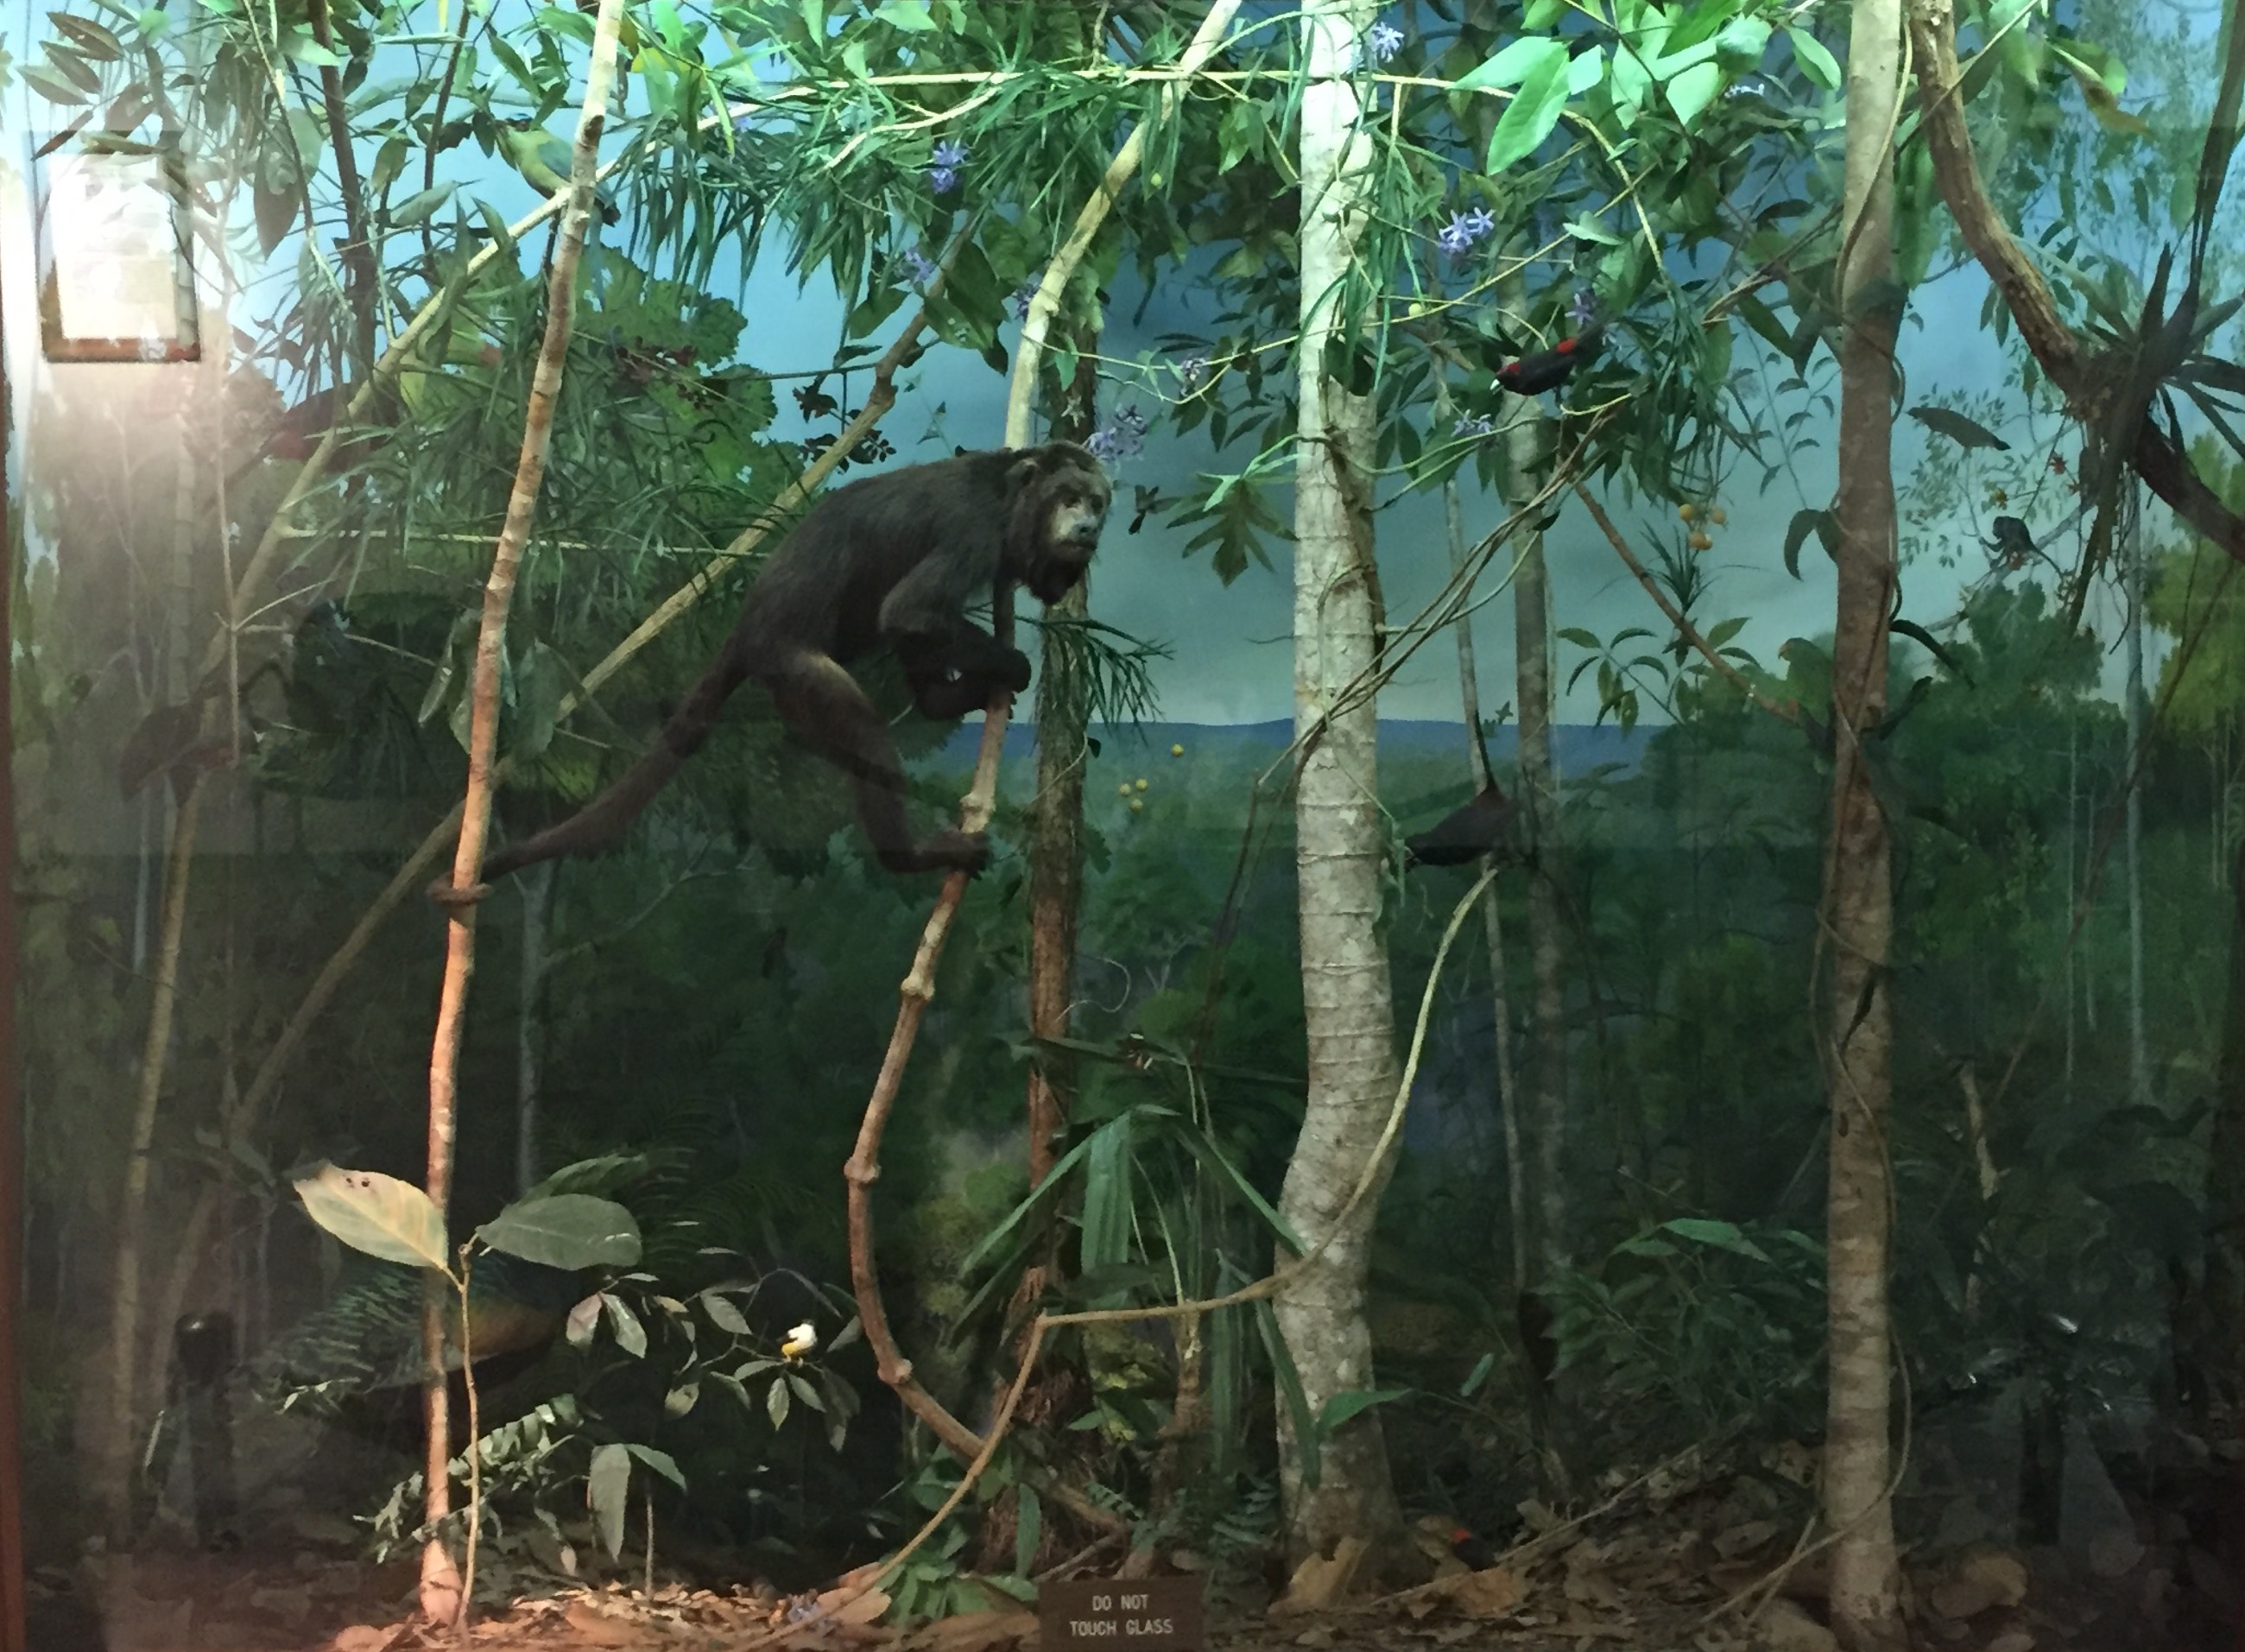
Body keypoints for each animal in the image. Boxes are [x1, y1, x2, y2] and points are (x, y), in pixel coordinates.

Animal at [447, 443, 1111, 900]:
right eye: (1069, 497)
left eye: (1097, 501)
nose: (1088, 526)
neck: (1011, 496)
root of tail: (748, 627)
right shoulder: (973, 530)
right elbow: (910, 611)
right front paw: (1012, 661)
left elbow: (915, 624)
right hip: (795, 667)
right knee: (862, 722)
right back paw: (911, 855)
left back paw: (946, 701)